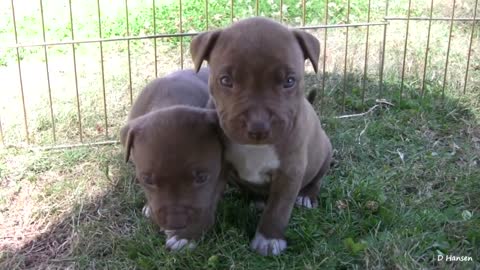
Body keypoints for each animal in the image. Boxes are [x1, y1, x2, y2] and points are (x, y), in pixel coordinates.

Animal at [120, 67, 225, 251]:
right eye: (147, 180)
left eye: (202, 178)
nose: (176, 223)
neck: (169, 100)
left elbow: (207, 204)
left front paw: (186, 237)